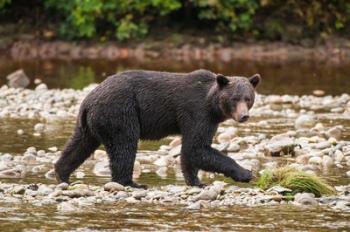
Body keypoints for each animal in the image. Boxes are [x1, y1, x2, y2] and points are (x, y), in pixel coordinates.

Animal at [55, 69, 260, 188]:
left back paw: (62, 173)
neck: (212, 106)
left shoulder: (203, 119)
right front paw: (245, 173)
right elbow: (197, 147)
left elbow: (191, 151)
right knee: (124, 146)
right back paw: (130, 183)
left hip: (90, 123)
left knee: (79, 145)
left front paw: (195, 181)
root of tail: (88, 101)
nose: (244, 116)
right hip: (120, 112)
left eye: (248, 98)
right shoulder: (196, 112)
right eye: (234, 98)